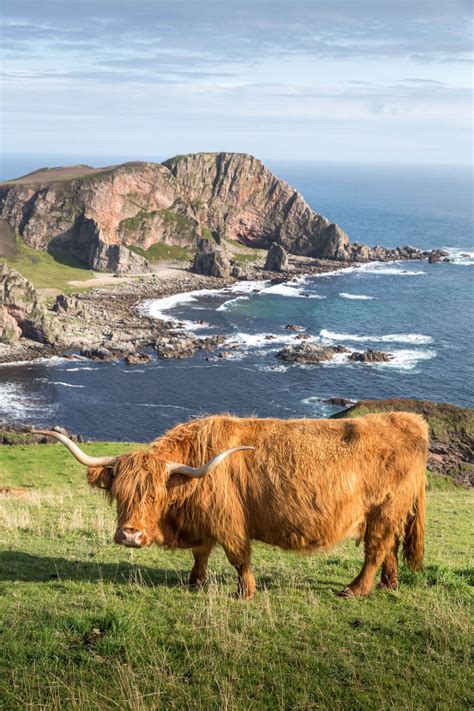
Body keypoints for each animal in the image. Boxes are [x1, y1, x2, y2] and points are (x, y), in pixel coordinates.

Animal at [37, 411, 428, 599]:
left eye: (156, 495)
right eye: (120, 493)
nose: (130, 536)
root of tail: (408, 420)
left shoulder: (228, 520)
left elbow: (238, 558)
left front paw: (244, 593)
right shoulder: (203, 522)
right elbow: (201, 553)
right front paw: (194, 582)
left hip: (383, 510)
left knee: (375, 550)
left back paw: (354, 590)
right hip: (388, 513)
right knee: (389, 548)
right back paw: (389, 585)